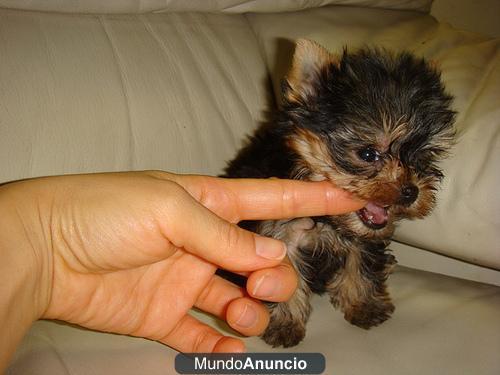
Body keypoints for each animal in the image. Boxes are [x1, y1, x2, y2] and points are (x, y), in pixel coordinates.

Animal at [225, 39, 456, 348]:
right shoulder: (278, 235)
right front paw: (285, 324)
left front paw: (364, 305)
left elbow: (361, 265)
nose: (411, 191)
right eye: (368, 153)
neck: (327, 220)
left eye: (423, 156)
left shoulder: (366, 237)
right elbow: (282, 281)